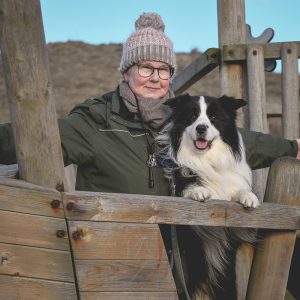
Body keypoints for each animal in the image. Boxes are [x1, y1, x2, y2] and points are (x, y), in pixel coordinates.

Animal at [157, 95, 260, 300]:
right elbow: (188, 188)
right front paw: (199, 191)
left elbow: (238, 190)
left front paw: (249, 197)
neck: (206, 159)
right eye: (192, 116)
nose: (201, 128)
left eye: (213, 117)